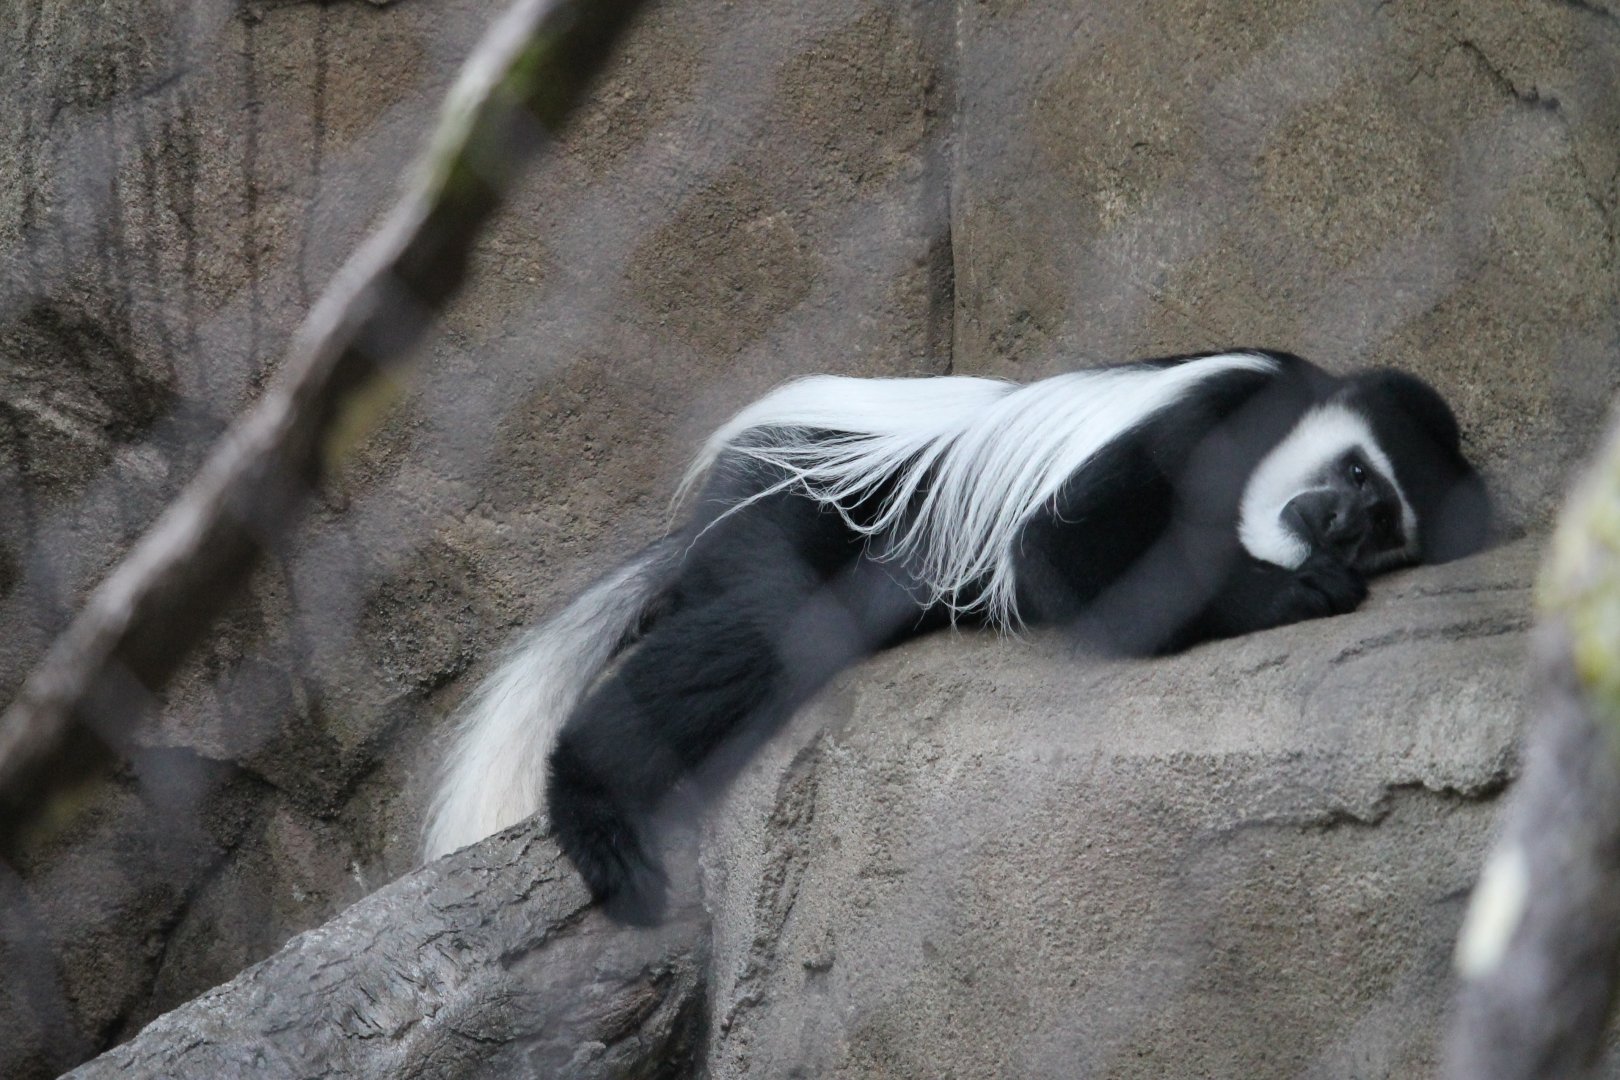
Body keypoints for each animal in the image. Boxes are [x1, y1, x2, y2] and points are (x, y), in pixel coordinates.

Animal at [422, 349, 1490, 923]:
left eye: (1386, 524)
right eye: (1360, 477)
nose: (1341, 526)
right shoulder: (1218, 411)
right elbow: (1063, 547)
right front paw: (1289, 593)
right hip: (794, 505)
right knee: (769, 628)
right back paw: (592, 808)